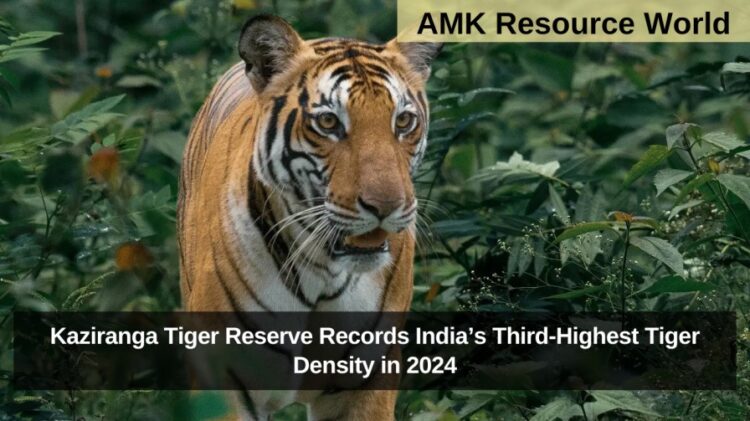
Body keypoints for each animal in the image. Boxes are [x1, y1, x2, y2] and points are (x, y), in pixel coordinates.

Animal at [177, 14, 441, 420]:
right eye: (329, 122)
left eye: (403, 121)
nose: (386, 206)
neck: (323, 271)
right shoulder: (224, 379)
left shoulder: (367, 382)